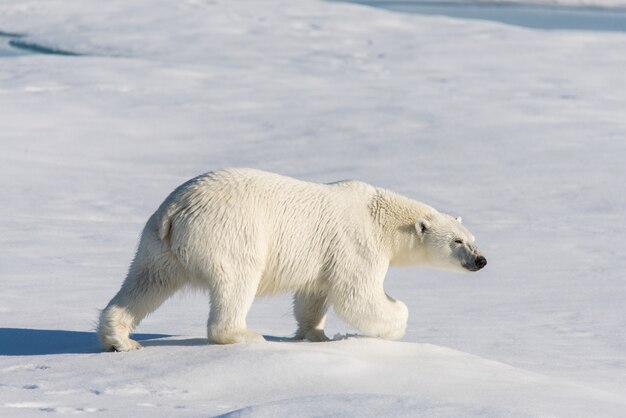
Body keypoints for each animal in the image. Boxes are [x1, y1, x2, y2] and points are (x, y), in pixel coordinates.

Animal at [98, 168, 488, 352]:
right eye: (458, 241)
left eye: (473, 239)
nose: (481, 260)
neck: (380, 216)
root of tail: (176, 210)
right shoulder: (357, 244)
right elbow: (357, 295)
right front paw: (394, 321)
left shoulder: (325, 256)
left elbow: (314, 295)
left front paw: (316, 336)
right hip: (231, 232)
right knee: (237, 281)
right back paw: (246, 335)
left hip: (158, 244)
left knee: (146, 282)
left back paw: (120, 340)